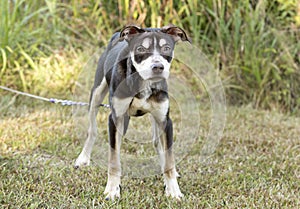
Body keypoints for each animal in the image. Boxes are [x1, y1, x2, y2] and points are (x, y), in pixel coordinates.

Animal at [75, 23, 190, 200]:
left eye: (167, 48)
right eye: (141, 49)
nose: (158, 67)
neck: (143, 83)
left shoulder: (165, 120)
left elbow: (169, 158)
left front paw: (173, 190)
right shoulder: (115, 117)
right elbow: (114, 159)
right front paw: (112, 189)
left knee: (157, 142)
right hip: (97, 93)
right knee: (92, 130)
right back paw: (83, 158)